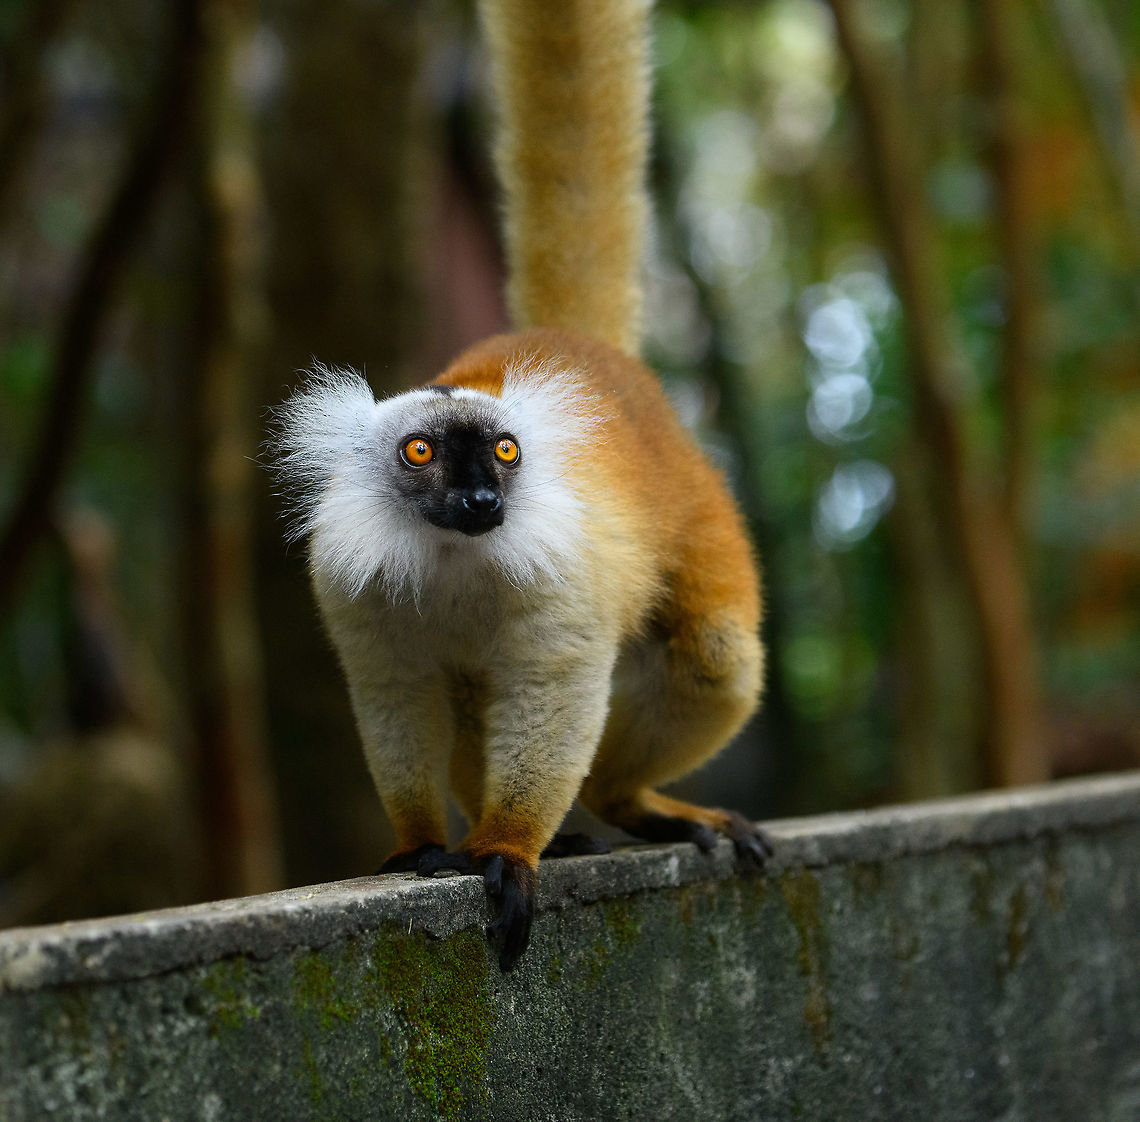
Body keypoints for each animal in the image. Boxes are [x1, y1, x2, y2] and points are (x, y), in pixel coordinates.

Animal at [272, 0, 770, 971]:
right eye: (420, 454)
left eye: (504, 454)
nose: (483, 503)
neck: (451, 555)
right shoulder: (348, 581)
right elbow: (395, 692)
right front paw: (423, 845)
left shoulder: (563, 575)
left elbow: (554, 692)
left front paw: (505, 848)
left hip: (699, 509)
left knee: (714, 651)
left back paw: (627, 804)